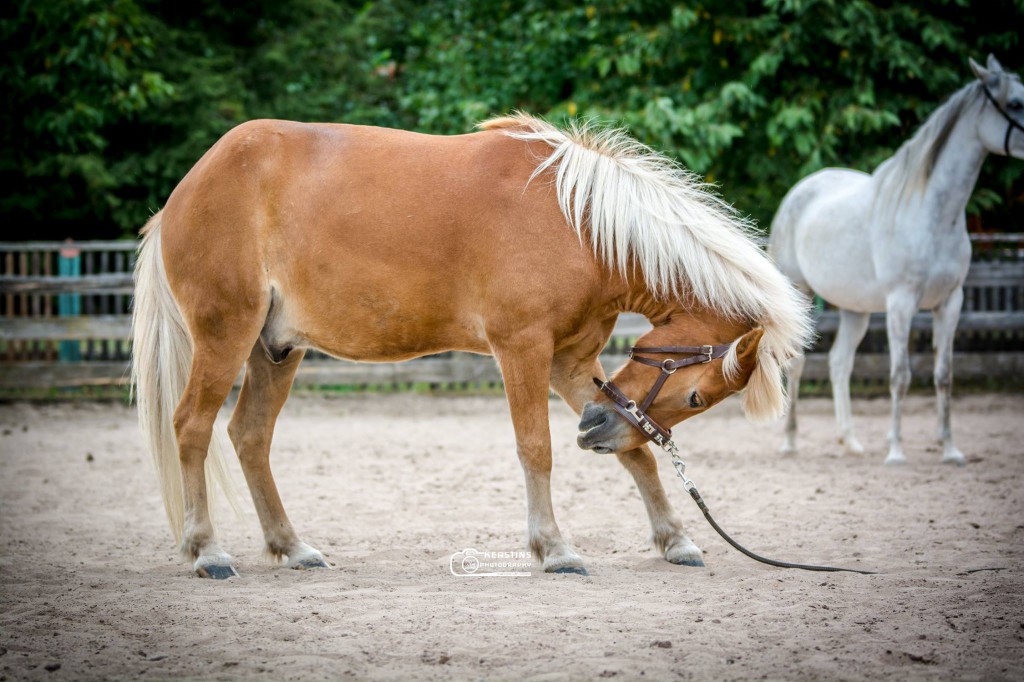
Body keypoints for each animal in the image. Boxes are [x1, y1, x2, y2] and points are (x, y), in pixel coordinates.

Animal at [132, 112, 811, 577]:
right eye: (697, 399)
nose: (596, 430)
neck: (577, 223)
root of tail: (187, 189)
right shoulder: (523, 350)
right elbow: (536, 449)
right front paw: (554, 548)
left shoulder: (573, 364)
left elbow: (638, 456)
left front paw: (676, 539)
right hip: (225, 335)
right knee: (192, 426)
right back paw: (207, 550)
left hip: (275, 349)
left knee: (249, 436)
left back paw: (291, 546)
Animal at [770, 55, 1019, 464]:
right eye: (1014, 103)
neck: (932, 213)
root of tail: (799, 191)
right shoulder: (901, 304)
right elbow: (900, 376)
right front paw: (897, 452)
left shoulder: (951, 302)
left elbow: (944, 375)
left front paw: (950, 449)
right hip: (800, 293)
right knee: (797, 361)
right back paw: (790, 442)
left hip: (855, 310)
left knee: (839, 363)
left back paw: (850, 441)